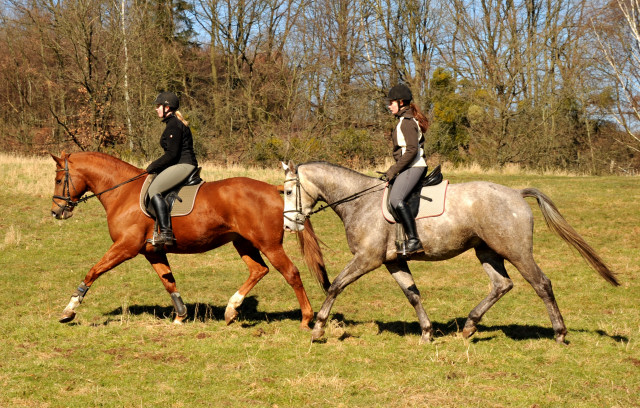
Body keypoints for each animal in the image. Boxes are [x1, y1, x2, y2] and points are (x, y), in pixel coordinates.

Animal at [50, 151, 330, 330]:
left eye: (58, 179)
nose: (56, 212)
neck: (123, 192)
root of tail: (274, 189)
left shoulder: (125, 247)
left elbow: (93, 271)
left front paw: (69, 310)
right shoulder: (152, 252)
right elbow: (168, 282)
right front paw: (181, 316)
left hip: (269, 245)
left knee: (291, 273)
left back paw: (306, 319)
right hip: (243, 243)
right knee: (258, 270)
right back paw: (231, 310)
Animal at [282, 161, 620, 342]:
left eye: (287, 191)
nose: (289, 225)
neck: (359, 201)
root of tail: (515, 193)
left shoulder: (367, 259)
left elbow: (335, 285)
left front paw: (318, 328)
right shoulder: (392, 262)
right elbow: (413, 295)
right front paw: (427, 332)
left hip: (517, 252)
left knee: (542, 284)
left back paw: (559, 333)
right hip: (486, 252)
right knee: (501, 285)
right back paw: (469, 326)